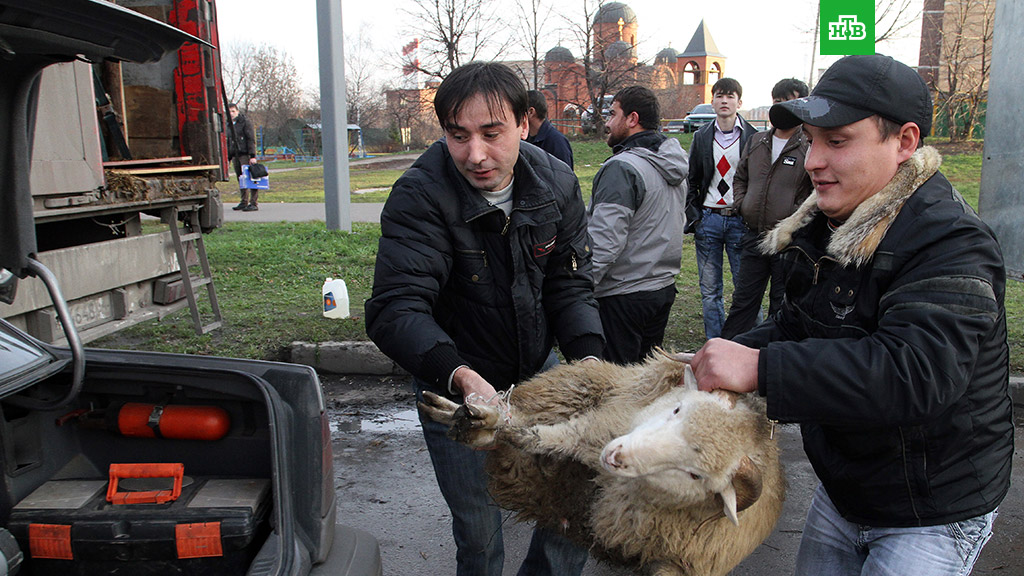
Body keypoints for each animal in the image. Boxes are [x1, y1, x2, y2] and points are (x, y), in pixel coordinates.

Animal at [419, 350, 786, 573]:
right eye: (677, 409)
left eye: (695, 475)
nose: (616, 456)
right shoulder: (602, 426)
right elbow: (542, 434)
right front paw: (498, 425)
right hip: (576, 386)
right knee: (515, 410)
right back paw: (466, 415)